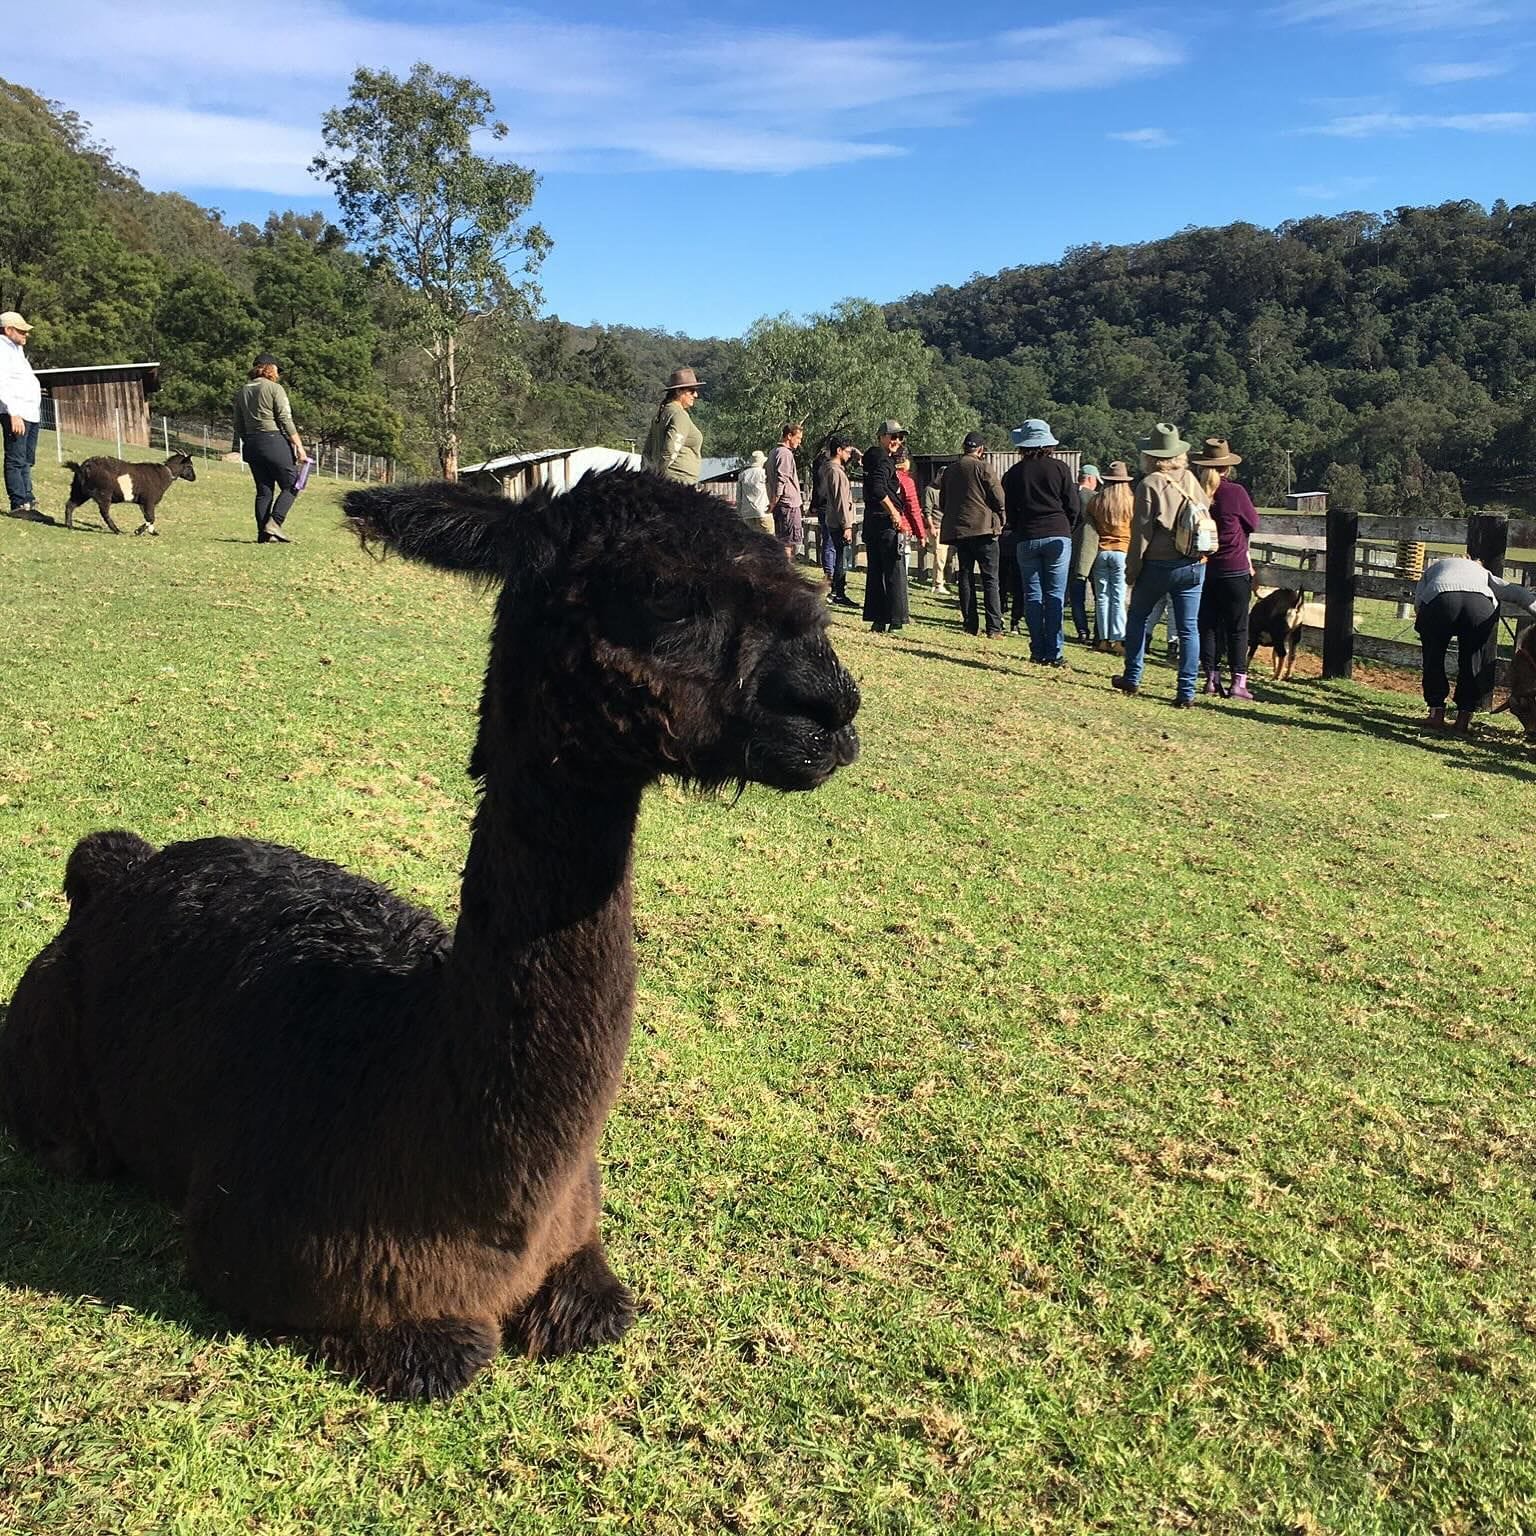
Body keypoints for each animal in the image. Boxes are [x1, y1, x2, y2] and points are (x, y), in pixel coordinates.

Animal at [0, 473, 866, 1400]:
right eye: (663, 590)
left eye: (796, 571)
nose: (833, 707)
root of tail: (117, 872)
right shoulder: (288, 1272)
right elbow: (452, 1353)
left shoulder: (579, 1256)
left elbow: (601, 1309)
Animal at [64, 451, 196, 537]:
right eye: (189, 465)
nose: (194, 478)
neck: (164, 474)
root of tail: (84, 467)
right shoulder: (149, 500)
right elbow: (151, 517)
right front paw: (138, 531)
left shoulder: (142, 502)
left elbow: (148, 517)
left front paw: (153, 532)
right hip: (104, 494)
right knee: (105, 513)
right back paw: (118, 531)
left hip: (80, 491)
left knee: (70, 505)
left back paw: (69, 526)